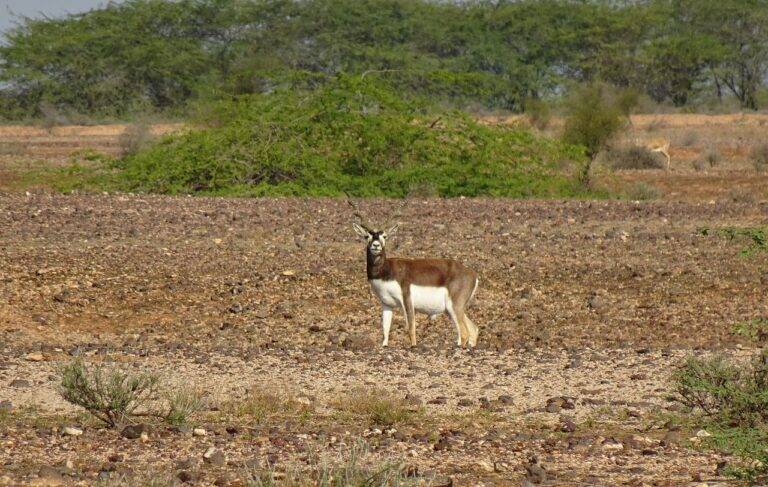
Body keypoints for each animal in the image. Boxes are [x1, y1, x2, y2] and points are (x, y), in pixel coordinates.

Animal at [352, 223, 480, 348]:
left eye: (385, 236)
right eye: (367, 236)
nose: (376, 245)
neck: (385, 271)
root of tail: (472, 274)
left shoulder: (406, 299)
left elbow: (411, 329)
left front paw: (413, 346)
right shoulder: (386, 304)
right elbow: (385, 329)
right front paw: (384, 346)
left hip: (453, 307)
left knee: (464, 333)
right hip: (452, 309)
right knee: (473, 329)